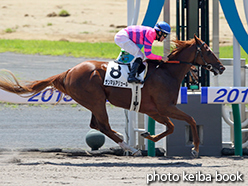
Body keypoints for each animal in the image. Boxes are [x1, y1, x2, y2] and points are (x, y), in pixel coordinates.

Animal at [0, 34, 225, 155]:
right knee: (103, 126)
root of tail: (68, 72)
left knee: (97, 125)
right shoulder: (165, 107)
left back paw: (126, 143)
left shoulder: (154, 110)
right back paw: (130, 147)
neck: (167, 72)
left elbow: (170, 127)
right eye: (207, 50)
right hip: (97, 100)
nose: (221, 67)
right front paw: (195, 149)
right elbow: (191, 119)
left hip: (94, 102)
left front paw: (147, 135)